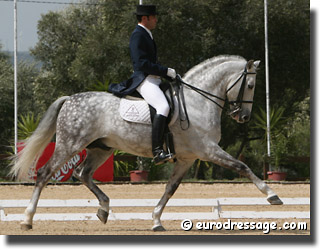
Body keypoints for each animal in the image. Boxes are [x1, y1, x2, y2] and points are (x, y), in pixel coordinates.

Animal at [10, 55, 282, 231]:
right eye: (250, 85)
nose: (243, 117)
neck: (198, 102)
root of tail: (69, 99)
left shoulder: (188, 158)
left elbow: (170, 189)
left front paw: (156, 220)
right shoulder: (208, 151)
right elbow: (242, 167)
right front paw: (272, 196)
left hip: (101, 148)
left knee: (82, 174)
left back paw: (104, 209)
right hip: (70, 144)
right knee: (45, 174)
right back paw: (27, 219)